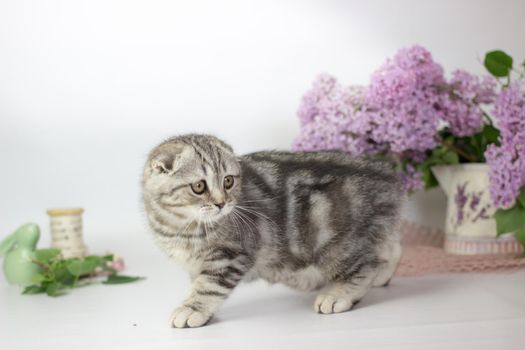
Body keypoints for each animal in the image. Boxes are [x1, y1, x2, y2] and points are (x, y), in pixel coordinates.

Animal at [141, 134, 404, 328]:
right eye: (198, 186)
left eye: (228, 181)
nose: (221, 203)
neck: (182, 226)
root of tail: (386, 174)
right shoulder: (198, 263)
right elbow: (200, 283)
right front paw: (202, 310)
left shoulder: (230, 255)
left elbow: (209, 287)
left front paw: (191, 309)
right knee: (391, 245)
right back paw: (384, 273)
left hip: (333, 240)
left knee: (365, 265)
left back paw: (340, 294)